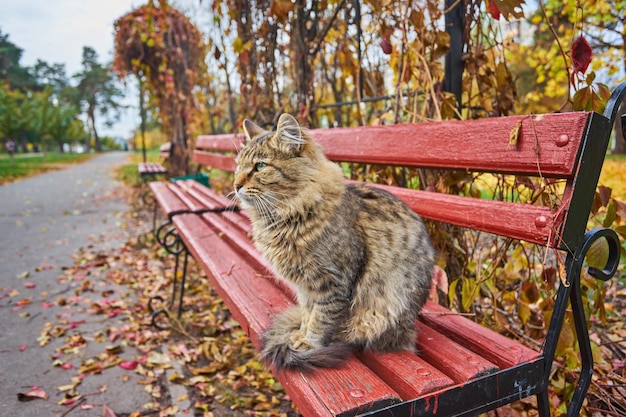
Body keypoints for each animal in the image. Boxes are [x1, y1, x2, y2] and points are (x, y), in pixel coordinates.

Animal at [232, 112, 432, 368]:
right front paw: (300, 335)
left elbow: (321, 320)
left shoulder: (332, 284)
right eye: (238, 166)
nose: (236, 185)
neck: (287, 217)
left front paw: (308, 344)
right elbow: (308, 314)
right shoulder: (306, 287)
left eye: (260, 166)